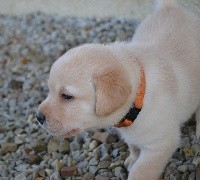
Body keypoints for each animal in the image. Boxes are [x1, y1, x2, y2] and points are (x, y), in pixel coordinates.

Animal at [36, 0, 200, 179]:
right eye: (49, 90)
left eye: (66, 96)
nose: (38, 117)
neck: (139, 97)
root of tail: (170, 7)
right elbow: (133, 146)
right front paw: (132, 158)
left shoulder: (160, 144)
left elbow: (140, 171)